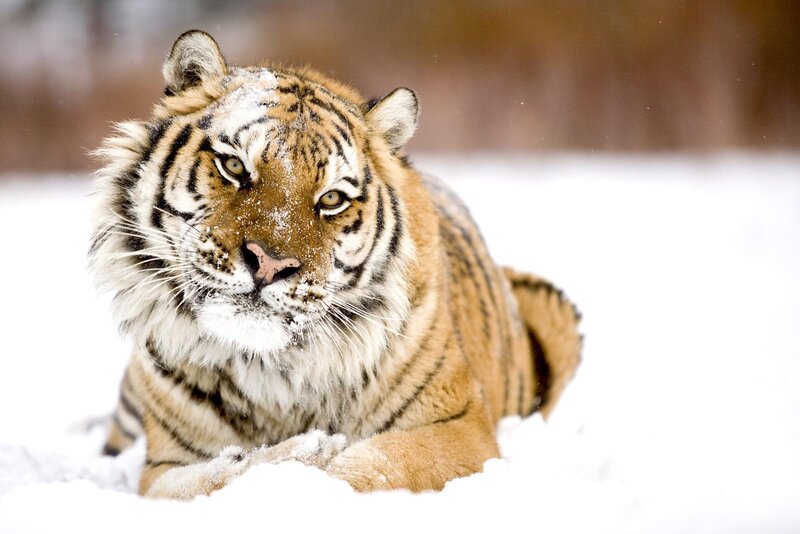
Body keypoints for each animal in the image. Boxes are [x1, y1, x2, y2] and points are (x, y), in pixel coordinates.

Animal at [90, 30, 582, 498]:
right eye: (233, 166)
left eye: (331, 199)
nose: (269, 264)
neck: (271, 374)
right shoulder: (163, 466)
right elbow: (208, 481)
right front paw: (302, 451)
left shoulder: (459, 429)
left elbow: (369, 468)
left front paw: (315, 455)